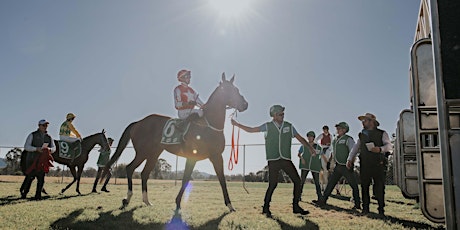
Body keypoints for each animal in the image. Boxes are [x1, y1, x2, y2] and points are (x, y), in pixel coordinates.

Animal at [103, 73, 248, 212]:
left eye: (236, 89)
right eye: (229, 90)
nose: (245, 104)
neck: (208, 125)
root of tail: (138, 122)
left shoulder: (216, 156)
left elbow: (222, 180)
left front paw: (230, 206)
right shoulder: (192, 157)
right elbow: (185, 179)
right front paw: (178, 203)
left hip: (153, 154)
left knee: (144, 173)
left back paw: (147, 201)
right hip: (142, 152)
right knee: (130, 168)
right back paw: (127, 199)